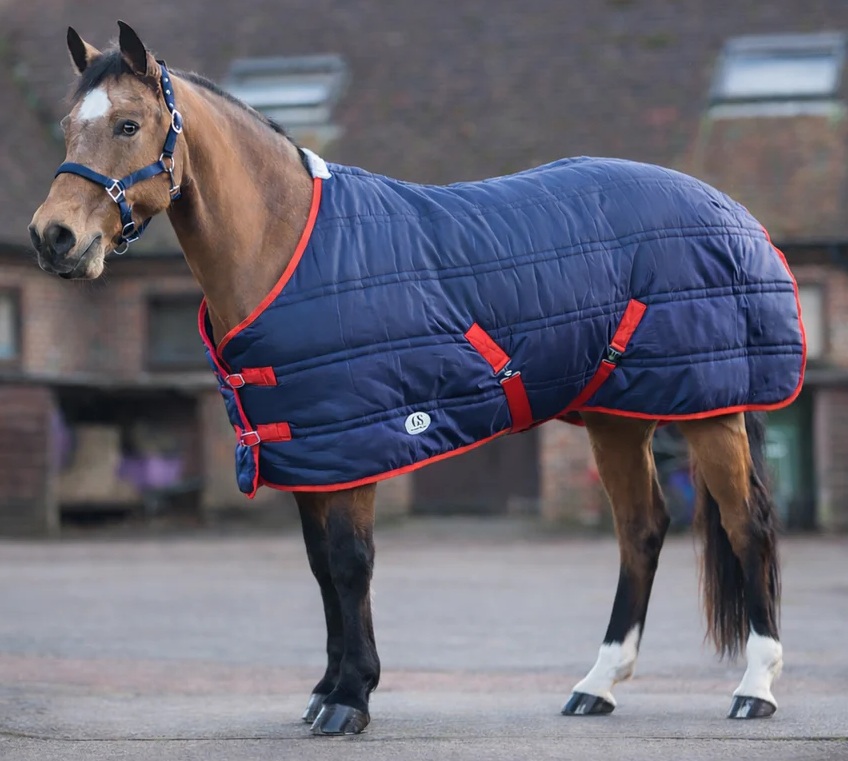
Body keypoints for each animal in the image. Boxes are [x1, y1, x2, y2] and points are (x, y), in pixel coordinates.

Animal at [29, 21, 804, 735]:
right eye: (68, 126)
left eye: (128, 125)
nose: (53, 237)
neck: (290, 247)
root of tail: (730, 211)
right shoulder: (309, 448)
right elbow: (320, 567)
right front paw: (326, 689)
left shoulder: (358, 445)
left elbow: (350, 563)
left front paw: (350, 699)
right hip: (618, 416)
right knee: (640, 529)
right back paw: (597, 684)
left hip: (711, 411)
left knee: (747, 524)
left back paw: (756, 687)